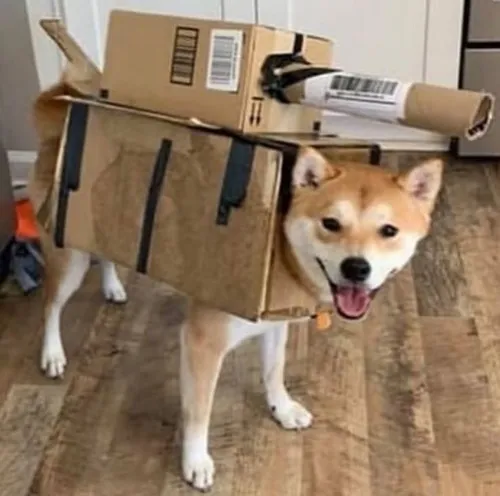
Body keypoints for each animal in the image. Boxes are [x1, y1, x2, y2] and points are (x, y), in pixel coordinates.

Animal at [38, 146, 443, 491]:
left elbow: (273, 372)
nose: (356, 268)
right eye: (330, 223)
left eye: (389, 231)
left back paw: (112, 286)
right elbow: (199, 411)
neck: (279, 256)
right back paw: (52, 354)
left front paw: (282, 409)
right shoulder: (203, 343)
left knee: (106, 258)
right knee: (51, 306)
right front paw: (196, 461)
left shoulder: (274, 325)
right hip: (70, 261)